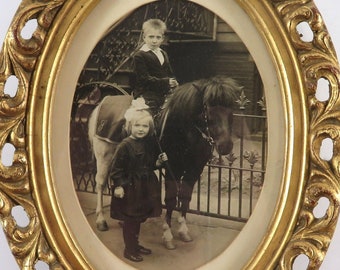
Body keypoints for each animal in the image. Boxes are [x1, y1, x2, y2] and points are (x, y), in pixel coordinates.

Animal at [87, 75, 242, 249]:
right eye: (208, 109)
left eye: (231, 109)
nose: (226, 146)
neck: (183, 128)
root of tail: (103, 102)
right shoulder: (172, 167)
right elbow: (171, 199)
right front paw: (168, 235)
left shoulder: (194, 170)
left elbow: (185, 197)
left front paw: (183, 230)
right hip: (104, 155)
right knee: (100, 184)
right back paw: (101, 220)